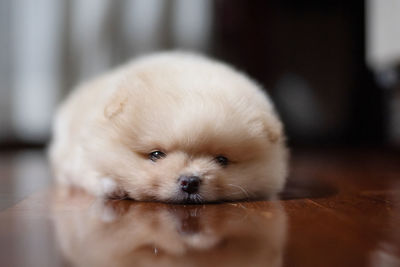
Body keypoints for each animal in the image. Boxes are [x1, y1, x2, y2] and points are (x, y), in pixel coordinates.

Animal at [48, 51, 290, 203]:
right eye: (156, 155)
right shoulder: (80, 156)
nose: (190, 181)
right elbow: (94, 174)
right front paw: (114, 187)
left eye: (222, 160)